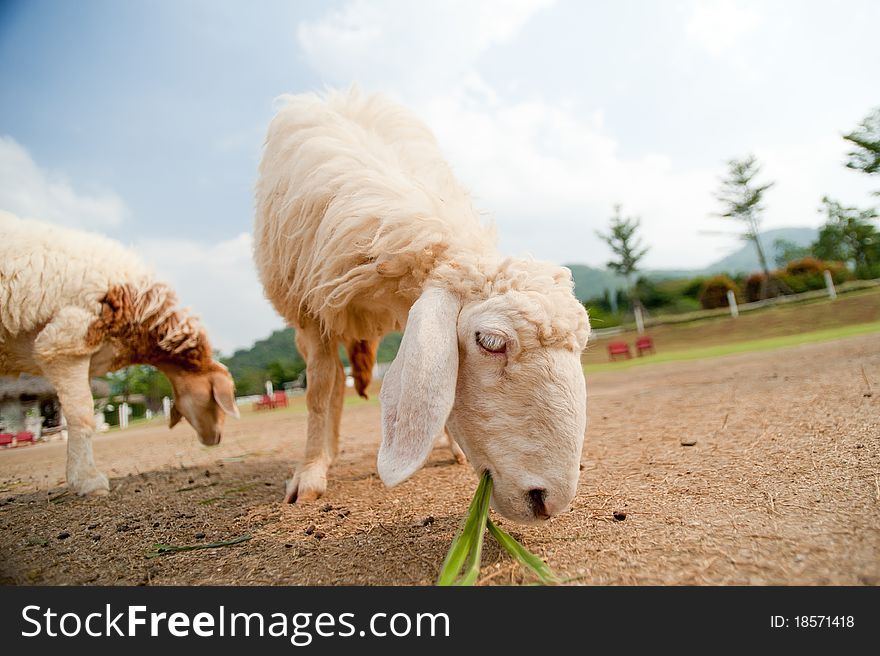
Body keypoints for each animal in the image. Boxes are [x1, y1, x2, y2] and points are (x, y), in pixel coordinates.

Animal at [254, 91, 592, 524]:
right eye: (491, 342)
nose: (549, 501)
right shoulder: (312, 309)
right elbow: (316, 393)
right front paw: (310, 474)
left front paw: (453, 446)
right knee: (330, 386)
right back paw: (325, 455)